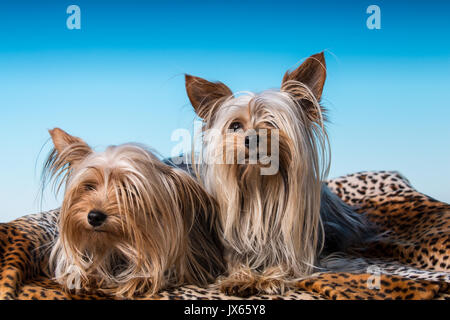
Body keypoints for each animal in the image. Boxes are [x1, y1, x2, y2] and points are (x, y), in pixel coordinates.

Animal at [43, 127, 224, 298]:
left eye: (129, 191)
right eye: (89, 186)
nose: (94, 216)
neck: (118, 244)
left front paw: (138, 281)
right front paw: (85, 275)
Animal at [185, 52, 370, 296]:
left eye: (273, 123)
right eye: (235, 126)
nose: (252, 138)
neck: (260, 187)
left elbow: (290, 263)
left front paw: (272, 277)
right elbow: (235, 261)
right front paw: (240, 277)